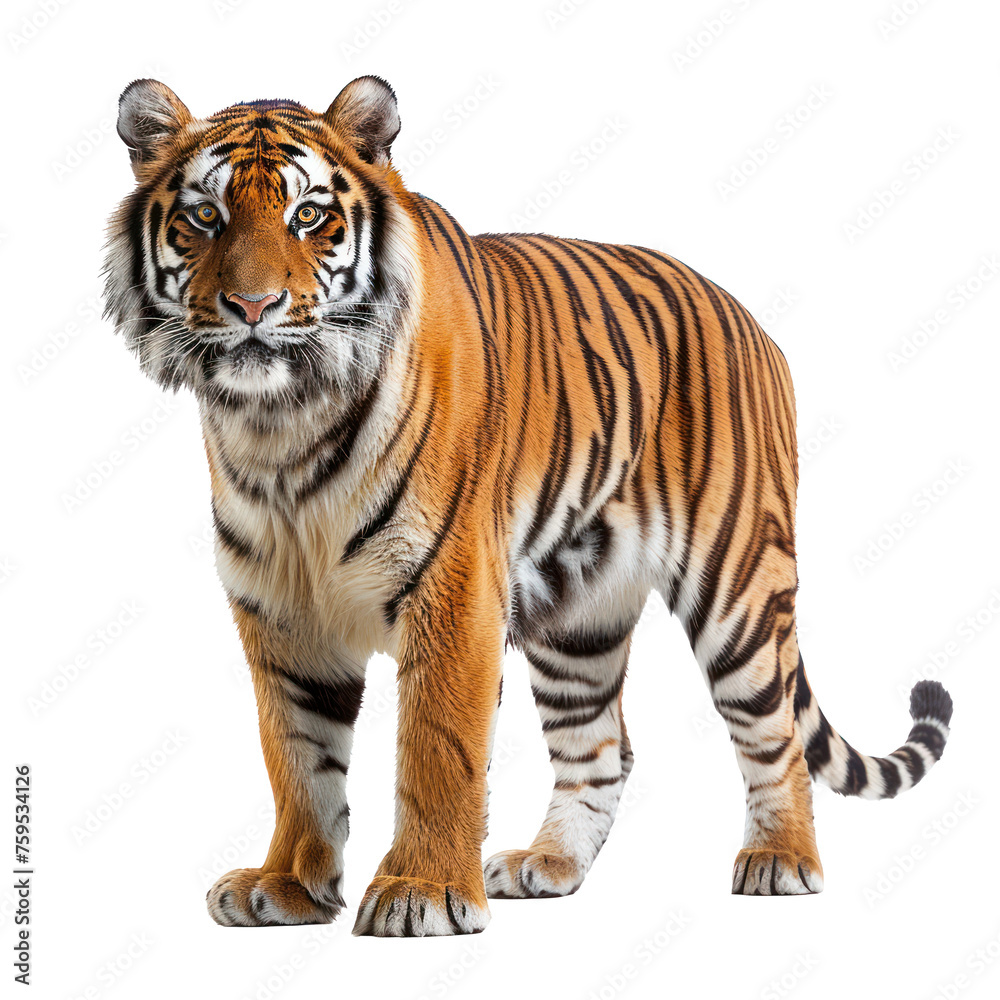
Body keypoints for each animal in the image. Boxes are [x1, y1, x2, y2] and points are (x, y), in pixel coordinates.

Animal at [104, 75, 954, 937]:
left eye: (308, 216)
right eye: (204, 216)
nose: (253, 305)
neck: (279, 427)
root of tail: (751, 322)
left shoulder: (452, 586)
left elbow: (436, 749)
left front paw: (420, 892)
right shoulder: (278, 609)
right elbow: (297, 757)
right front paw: (286, 885)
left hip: (737, 584)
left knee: (774, 730)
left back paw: (782, 859)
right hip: (579, 618)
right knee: (603, 746)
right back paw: (549, 865)